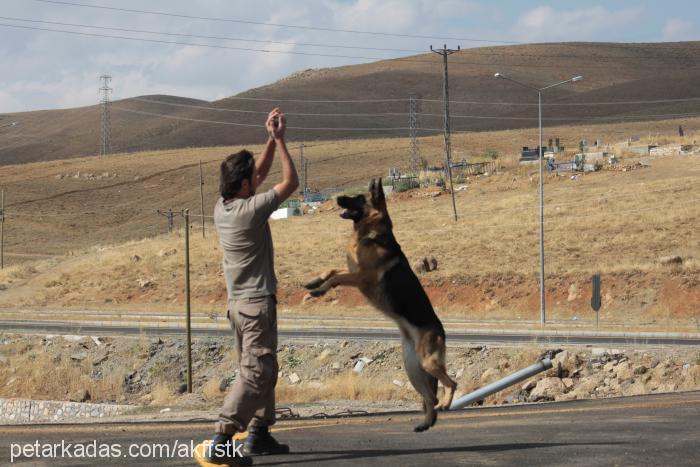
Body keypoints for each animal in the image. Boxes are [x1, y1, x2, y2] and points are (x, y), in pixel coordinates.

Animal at [302, 178, 456, 432]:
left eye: (358, 198)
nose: (337, 198)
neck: (369, 232)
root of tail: (441, 330)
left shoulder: (361, 277)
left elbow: (335, 277)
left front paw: (319, 289)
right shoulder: (353, 271)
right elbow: (331, 271)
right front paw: (313, 282)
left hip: (428, 362)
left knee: (451, 383)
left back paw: (446, 403)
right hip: (413, 368)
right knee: (429, 397)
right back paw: (425, 423)